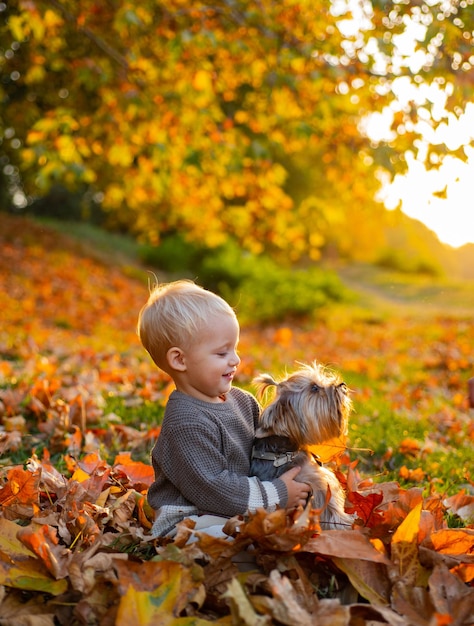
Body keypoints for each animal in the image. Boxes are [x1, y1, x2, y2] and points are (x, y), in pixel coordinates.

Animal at [250, 360, 354, 528]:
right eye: (314, 388)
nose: (342, 384)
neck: (284, 453)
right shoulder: (319, 482)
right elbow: (332, 508)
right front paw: (348, 523)